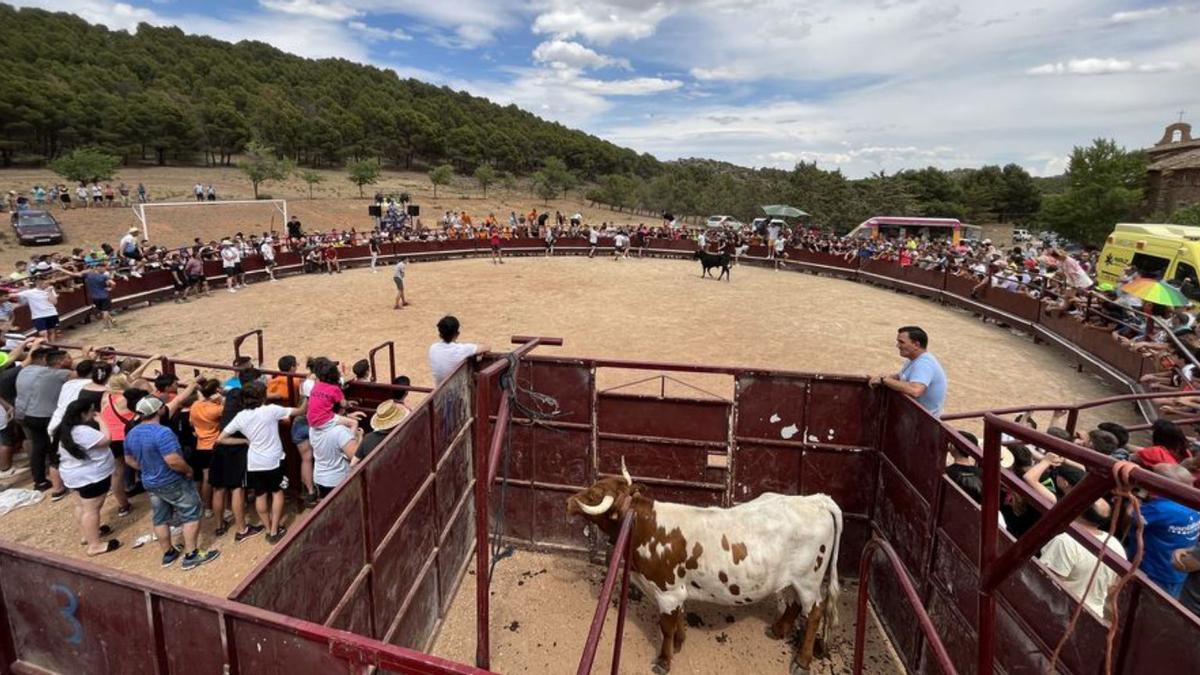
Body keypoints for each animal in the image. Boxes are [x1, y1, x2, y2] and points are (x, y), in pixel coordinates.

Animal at [564, 456, 840, 672]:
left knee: (814, 612)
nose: (568, 502)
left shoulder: (667, 591)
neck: (645, 527)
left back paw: (802, 661)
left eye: (593, 495)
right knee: (793, 602)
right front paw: (680, 641)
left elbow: (666, 625)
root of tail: (815, 500)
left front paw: (664, 660)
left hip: (809, 579)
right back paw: (778, 630)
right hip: (792, 578)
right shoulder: (677, 590)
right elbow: (678, 617)